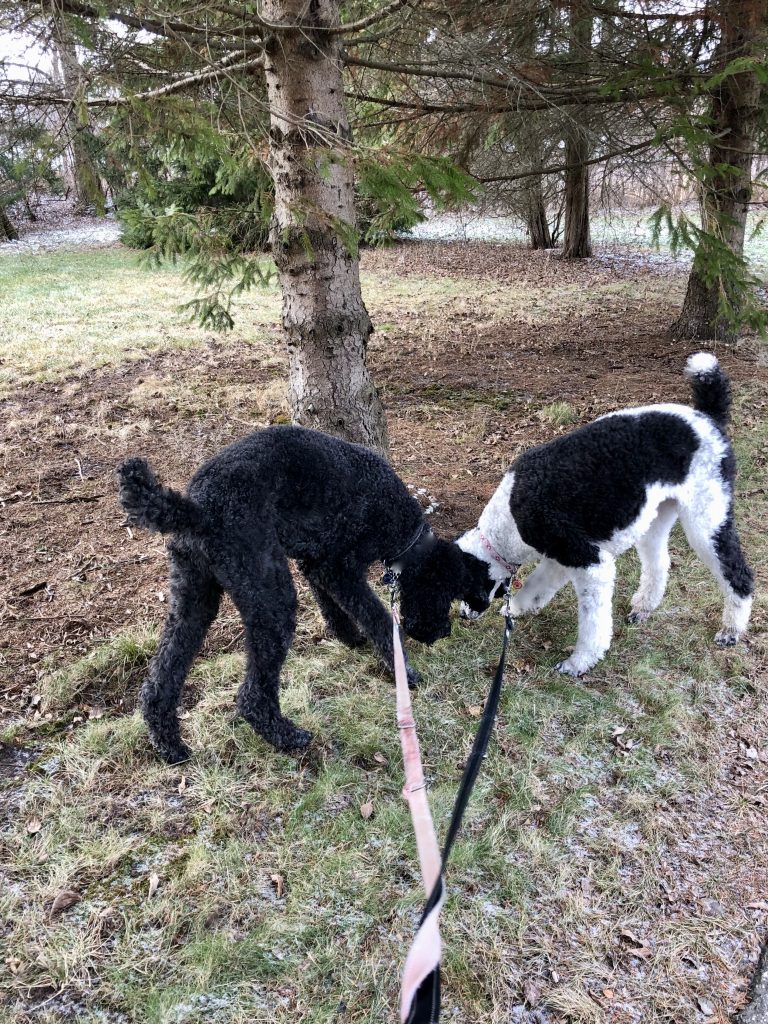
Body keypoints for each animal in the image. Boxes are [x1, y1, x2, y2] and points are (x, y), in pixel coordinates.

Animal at [117, 421, 489, 761]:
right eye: (445, 595)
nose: (442, 633)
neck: (396, 522)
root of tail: (197, 509)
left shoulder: (316, 562)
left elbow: (332, 606)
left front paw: (349, 637)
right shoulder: (339, 568)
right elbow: (378, 618)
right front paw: (404, 671)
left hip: (194, 596)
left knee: (163, 676)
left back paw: (170, 745)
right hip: (271, 597)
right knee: (252, 695)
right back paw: (286, 736)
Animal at [460, 356, 753, 675]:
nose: (462, 616)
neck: (508, 521)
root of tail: (706, 416)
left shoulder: (590, 563)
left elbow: (593, 622)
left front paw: (580, 662)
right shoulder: (562, 558)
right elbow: (536, 587)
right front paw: (517, 607)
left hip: (706, 521)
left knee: (738, 573)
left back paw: (732, 629)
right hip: (655, 518)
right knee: (659, 564)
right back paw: (643, 607)